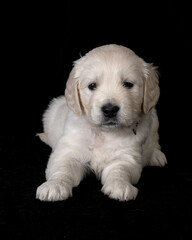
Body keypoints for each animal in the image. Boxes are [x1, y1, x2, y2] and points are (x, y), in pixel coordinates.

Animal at [36, 44, 166, 202]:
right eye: (92, 85)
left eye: (128, 84)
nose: (109, 110)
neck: (103, 133)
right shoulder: (69, 151)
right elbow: (62, 169)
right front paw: (54, 186)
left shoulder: (126, 156)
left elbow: (119, 170)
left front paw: (120, 186)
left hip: (153, 115)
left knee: (155, 140)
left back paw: (156, 155)